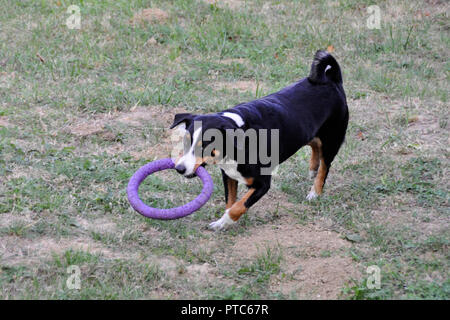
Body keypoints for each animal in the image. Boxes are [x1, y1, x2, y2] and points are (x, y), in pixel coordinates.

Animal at [169, 50, 348, 230]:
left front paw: (223, 222)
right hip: (306, 131)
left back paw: (314, 192)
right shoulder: (228, 175)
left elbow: (237, 206)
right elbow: (231, 201)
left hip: (332, 140)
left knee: (324, 167)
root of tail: (331, 81)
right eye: (186, 142)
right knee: (314, 144)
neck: (238, 143)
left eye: (205, 145)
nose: (179, 168)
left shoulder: (262, 184)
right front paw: (224, 222)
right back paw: (312, 168)